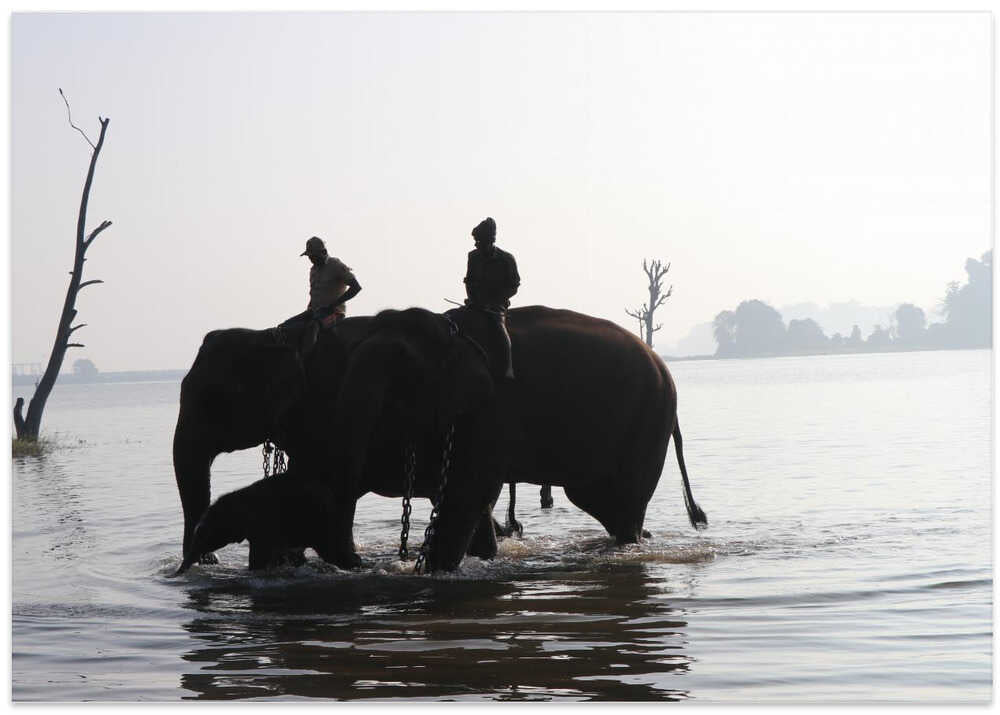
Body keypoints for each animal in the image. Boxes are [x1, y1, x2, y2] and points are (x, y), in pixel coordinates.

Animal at [332, 305, 707, 573]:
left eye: (399, 374)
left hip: (648, 420)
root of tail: (662, 366)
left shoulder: (488, 411)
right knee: (599, 500)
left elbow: (466, 490)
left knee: (623, 501)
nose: (356, 563)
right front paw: (484, 554)